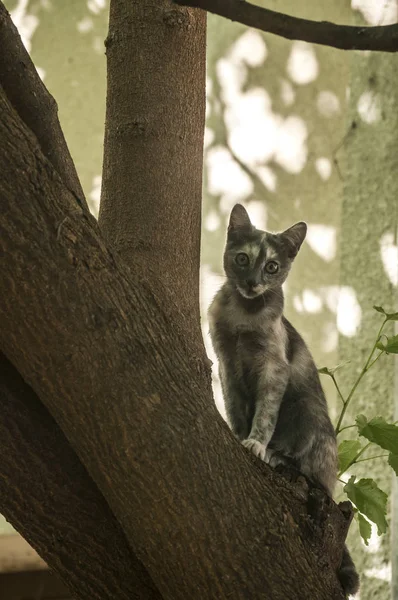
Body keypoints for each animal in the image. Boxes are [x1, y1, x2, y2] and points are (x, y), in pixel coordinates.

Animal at [208, 205, 360, 596]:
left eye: (273, 266)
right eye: (242, 258)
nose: (252, 282)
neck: (244, 318)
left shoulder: (273, 369)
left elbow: (265, 413)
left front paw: (257, 444)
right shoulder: (227, 365)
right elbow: (235, 408)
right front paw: (238, 435)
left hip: (308, 414)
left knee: (310, 472)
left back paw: (278, 457)